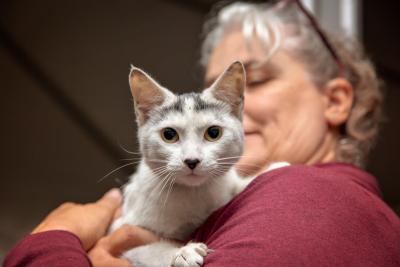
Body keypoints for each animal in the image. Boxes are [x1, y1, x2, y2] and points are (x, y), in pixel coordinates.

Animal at [111, 61, 252, 267]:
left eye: (213, 133)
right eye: (169, 135)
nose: (192, 160)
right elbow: (147, 250)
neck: (194, 193)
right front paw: (181, 253)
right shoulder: (122, 231)